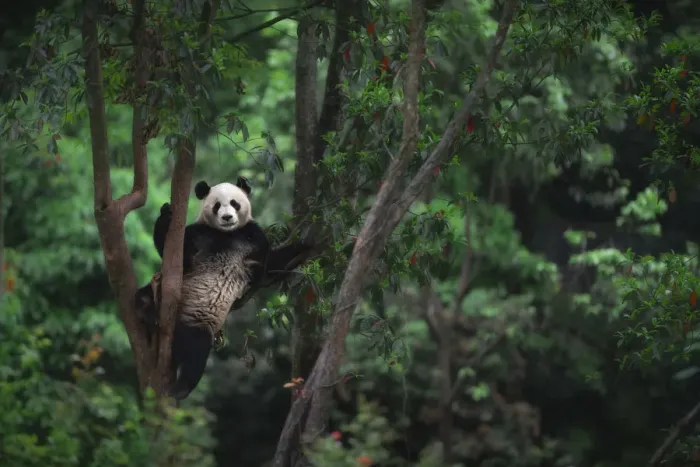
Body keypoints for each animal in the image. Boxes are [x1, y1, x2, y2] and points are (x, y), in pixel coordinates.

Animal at [135, 176, 311, 400]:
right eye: (217, 205)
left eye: (235, 203)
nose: (227, 217)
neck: (227, 234)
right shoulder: (198, 234)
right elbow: (176, 255)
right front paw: (165, 213)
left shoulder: (253, 236)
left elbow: (268, 266)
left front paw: (302, 246)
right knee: (146, 295)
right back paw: (146, 309)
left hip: (200, 318)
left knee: (197, 349)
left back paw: (182, 387)